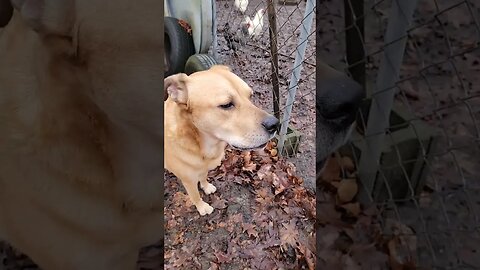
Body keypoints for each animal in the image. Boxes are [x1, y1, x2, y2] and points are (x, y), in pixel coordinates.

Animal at [165, 66, 280, 216]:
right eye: (226, 105)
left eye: (250, 96)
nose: (275, 124)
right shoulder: (188, 181)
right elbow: (195, 196)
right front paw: (202, 207)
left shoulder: (204, 168)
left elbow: (203, 177)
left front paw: (206, 186)